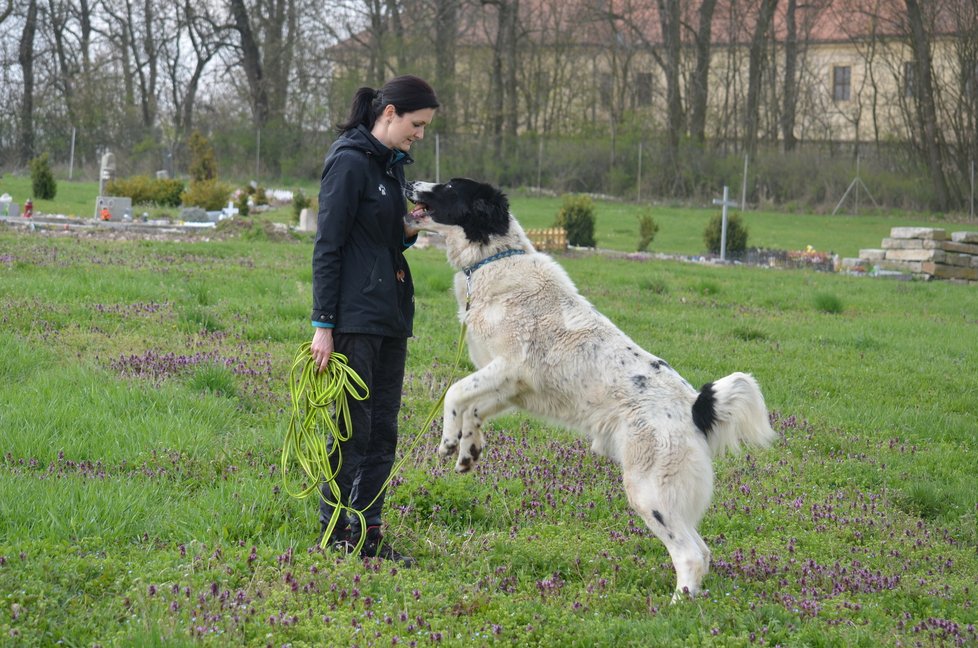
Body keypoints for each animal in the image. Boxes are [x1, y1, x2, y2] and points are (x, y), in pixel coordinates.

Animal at [404, 178, 772, 604]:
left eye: (448, 186)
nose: (410, 183)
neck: (494, 258)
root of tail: (696, 406)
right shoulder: (511, 384)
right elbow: (473, 407)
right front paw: (468, 449)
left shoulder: (510, 367)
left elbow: (453, 392)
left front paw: (448, 440)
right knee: (704, 550)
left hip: (648, 491)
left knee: (690, 553)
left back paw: (675, 604)